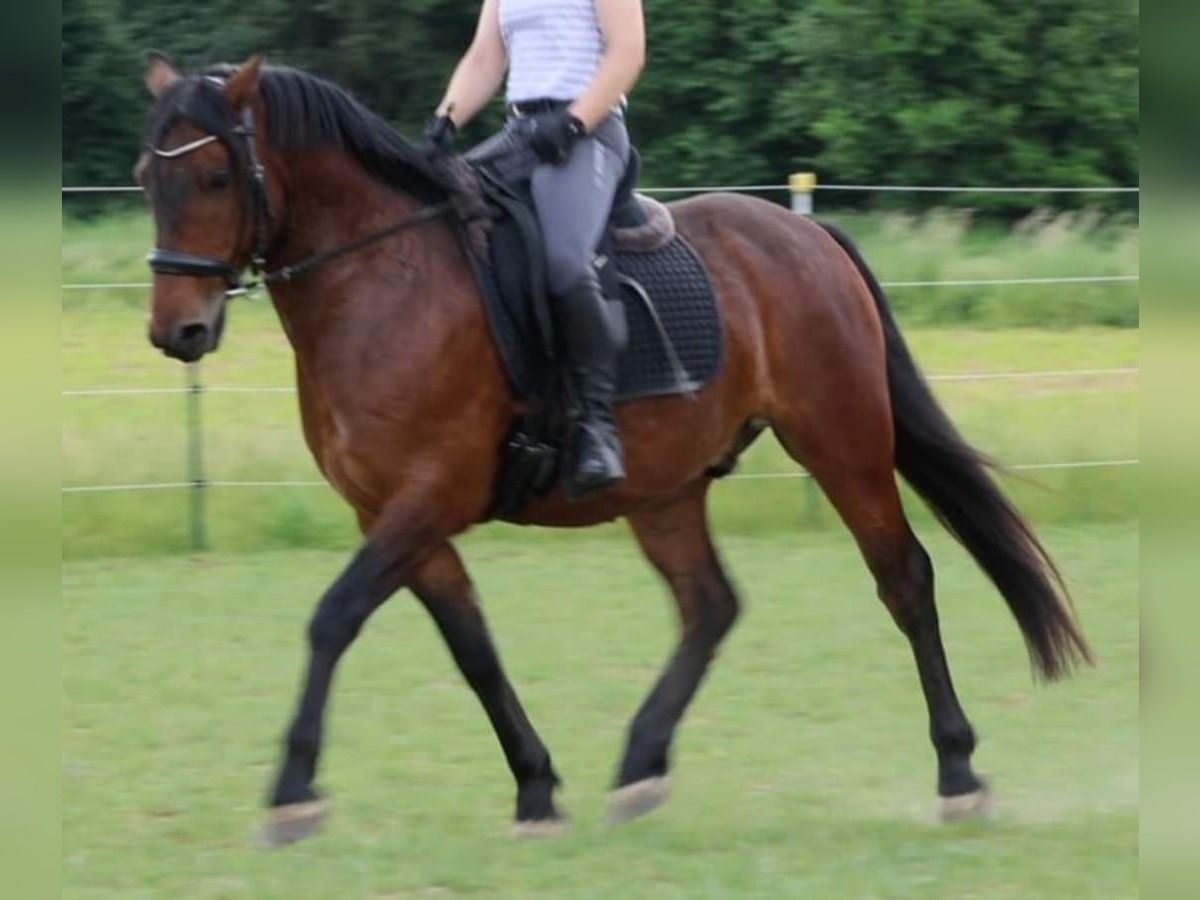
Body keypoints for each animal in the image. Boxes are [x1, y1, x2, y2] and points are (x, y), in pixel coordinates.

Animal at [136, 56, 1094, 844]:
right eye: (150, 178)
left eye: (216, 174)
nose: (177, 331)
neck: (382, 277)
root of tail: (805, 235)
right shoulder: (394, 513)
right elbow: (472, 648)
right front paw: (535, 789)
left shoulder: (428, 496)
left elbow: (331, 618)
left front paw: (292, 791)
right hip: (666, 487)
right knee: (710, 605)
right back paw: (639, 768)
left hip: (842, 442)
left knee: (905, 581)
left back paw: (958, 772)